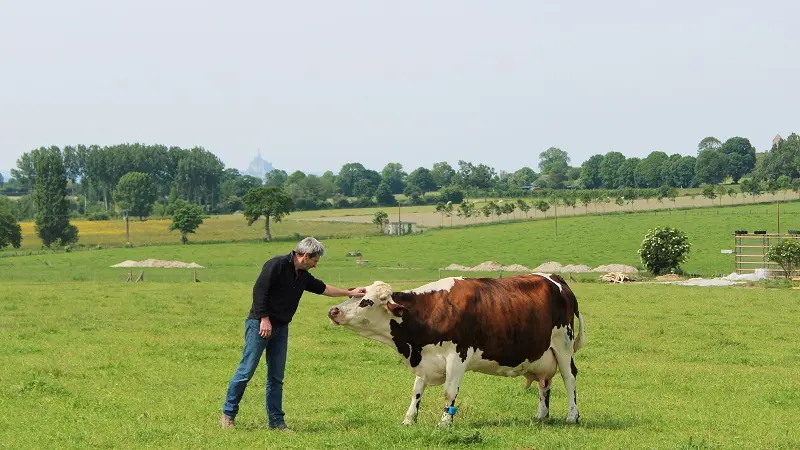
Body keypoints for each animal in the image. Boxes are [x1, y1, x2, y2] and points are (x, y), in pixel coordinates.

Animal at [326, 272, 588, 428]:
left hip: (563, 345)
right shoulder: (425, 360)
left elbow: (449, 392)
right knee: (545, 383)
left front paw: (444, 423)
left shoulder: (458, 355)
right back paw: (541, 415)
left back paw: (572, 415)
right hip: (543, 354)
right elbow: (416, 390)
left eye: (366, 301)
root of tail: (555, 278)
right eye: (355, 293)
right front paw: (409, 419)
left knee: (569, 378)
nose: (333, 310)